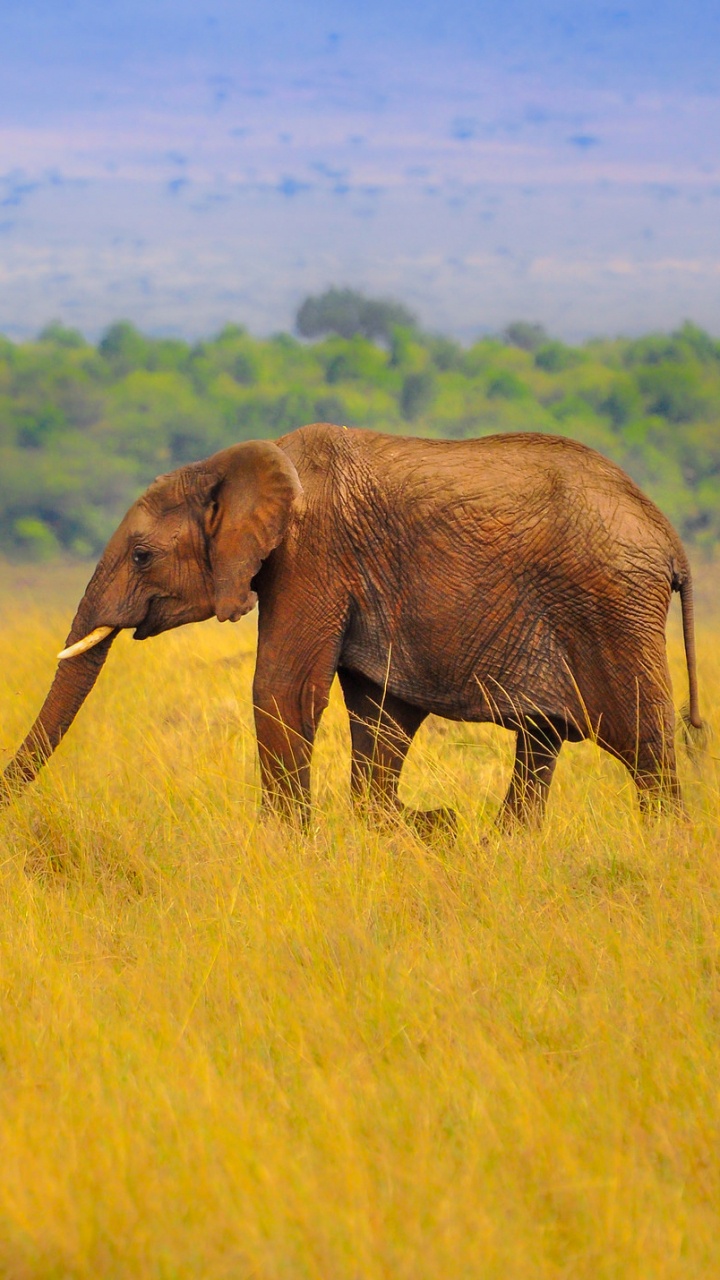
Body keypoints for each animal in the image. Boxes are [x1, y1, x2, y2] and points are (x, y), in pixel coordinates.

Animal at [1, 423, 706, 830]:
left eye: (143, 555)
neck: (238, 463)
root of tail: (668, 536)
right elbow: (380, 707)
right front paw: (417, 825)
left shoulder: (312, 556)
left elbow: (282, 692)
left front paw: (285, 847)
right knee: (542, 742)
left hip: (612, 606)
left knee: (644, 745)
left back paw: (662, 848)